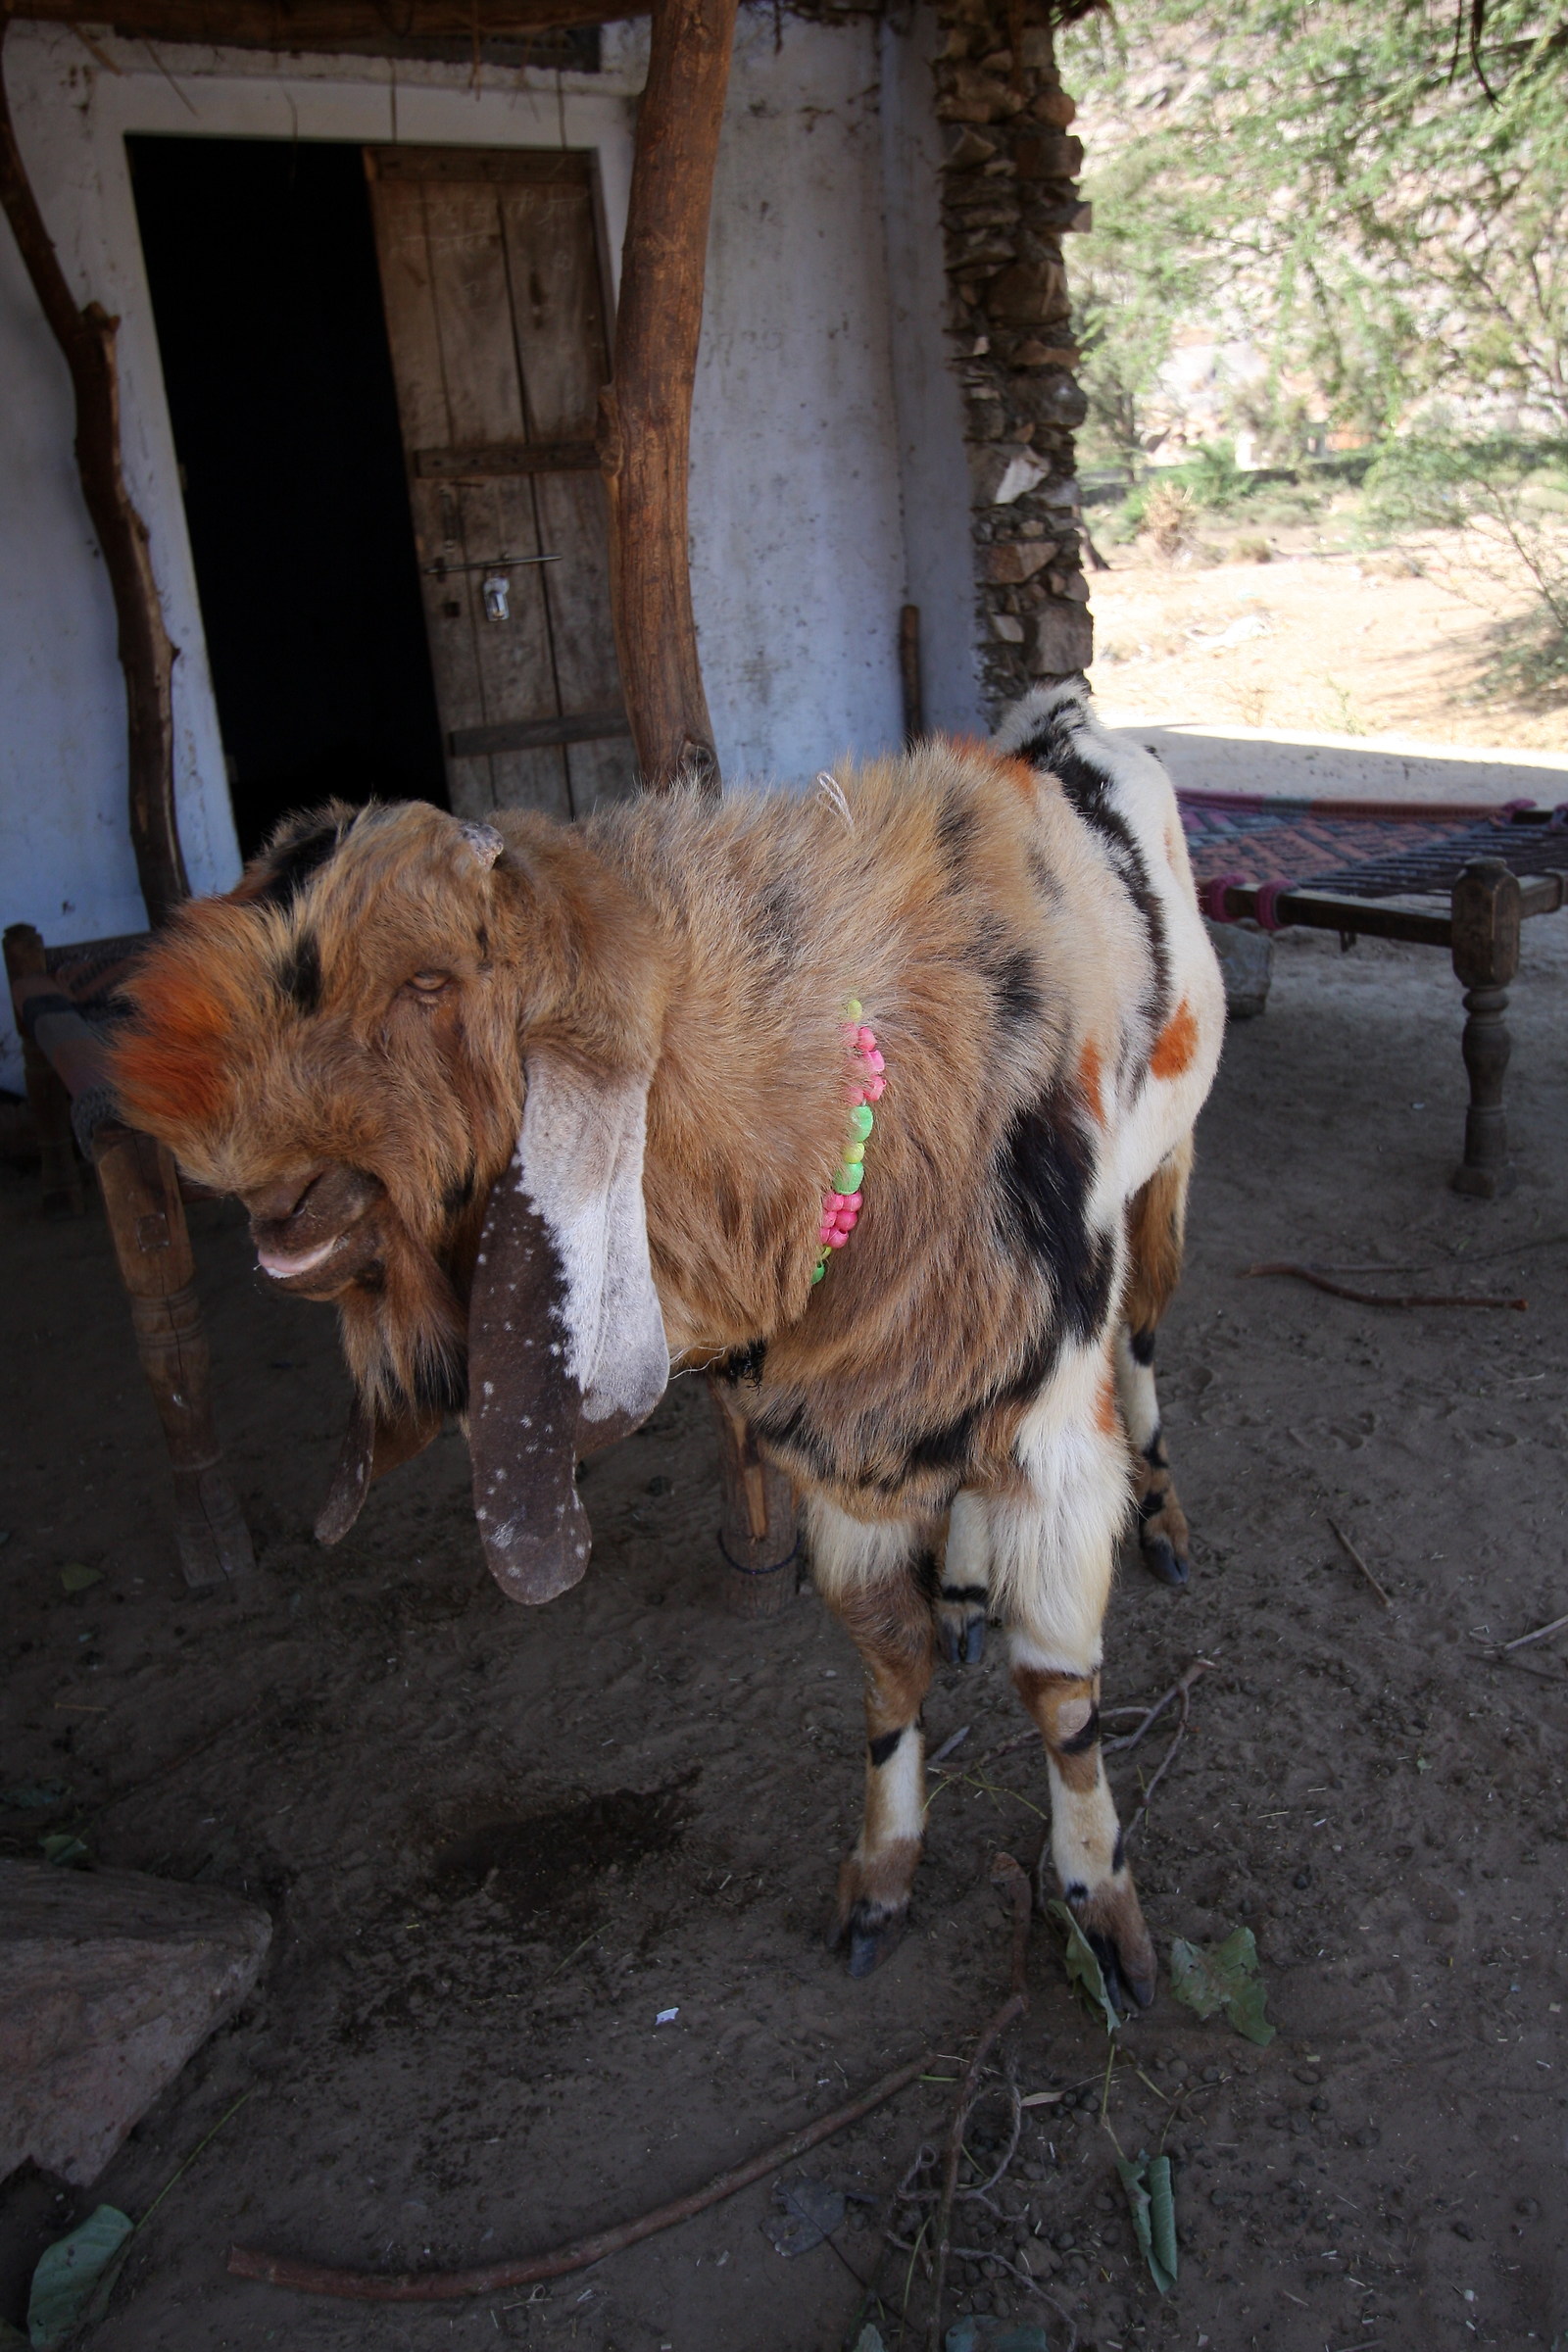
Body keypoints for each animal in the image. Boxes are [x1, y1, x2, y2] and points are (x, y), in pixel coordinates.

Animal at [110, 680, 1224, 2004]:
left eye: (430, 982)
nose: (261, 1198)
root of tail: (1065, 716)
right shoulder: (840, 1442)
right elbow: (887, 1660)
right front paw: (879, 1876)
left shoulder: (1049, 1436)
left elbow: (1058, 1693)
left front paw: (1104, 1912)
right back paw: (962, 1586)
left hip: (1165, 1176)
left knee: (1145, 1342)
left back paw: (1164, 1521)